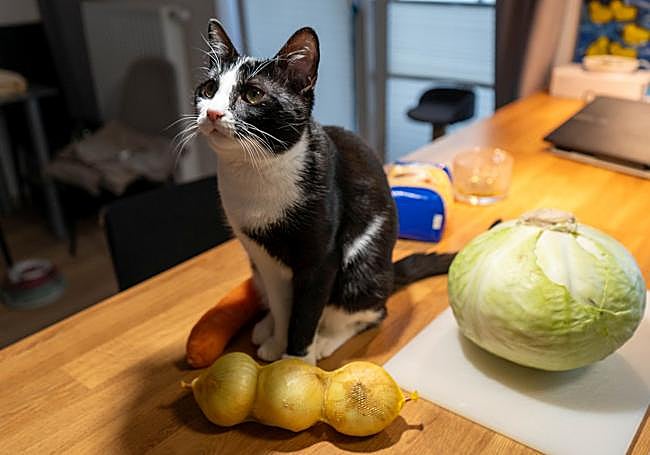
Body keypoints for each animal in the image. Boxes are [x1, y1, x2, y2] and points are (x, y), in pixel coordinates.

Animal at [194, 19, 454, 364]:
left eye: (253, 94)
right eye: (208, 90)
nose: (212, 113)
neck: (257, 171)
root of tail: (389, 273)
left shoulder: (321, 260)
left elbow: (305, 315)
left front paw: (297, 362)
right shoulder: (265, 260)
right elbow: (283, 307)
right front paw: (278, 344)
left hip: (360, 270)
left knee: (369, 312)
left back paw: (327, 340)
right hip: (257, 270)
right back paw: (266, 328)